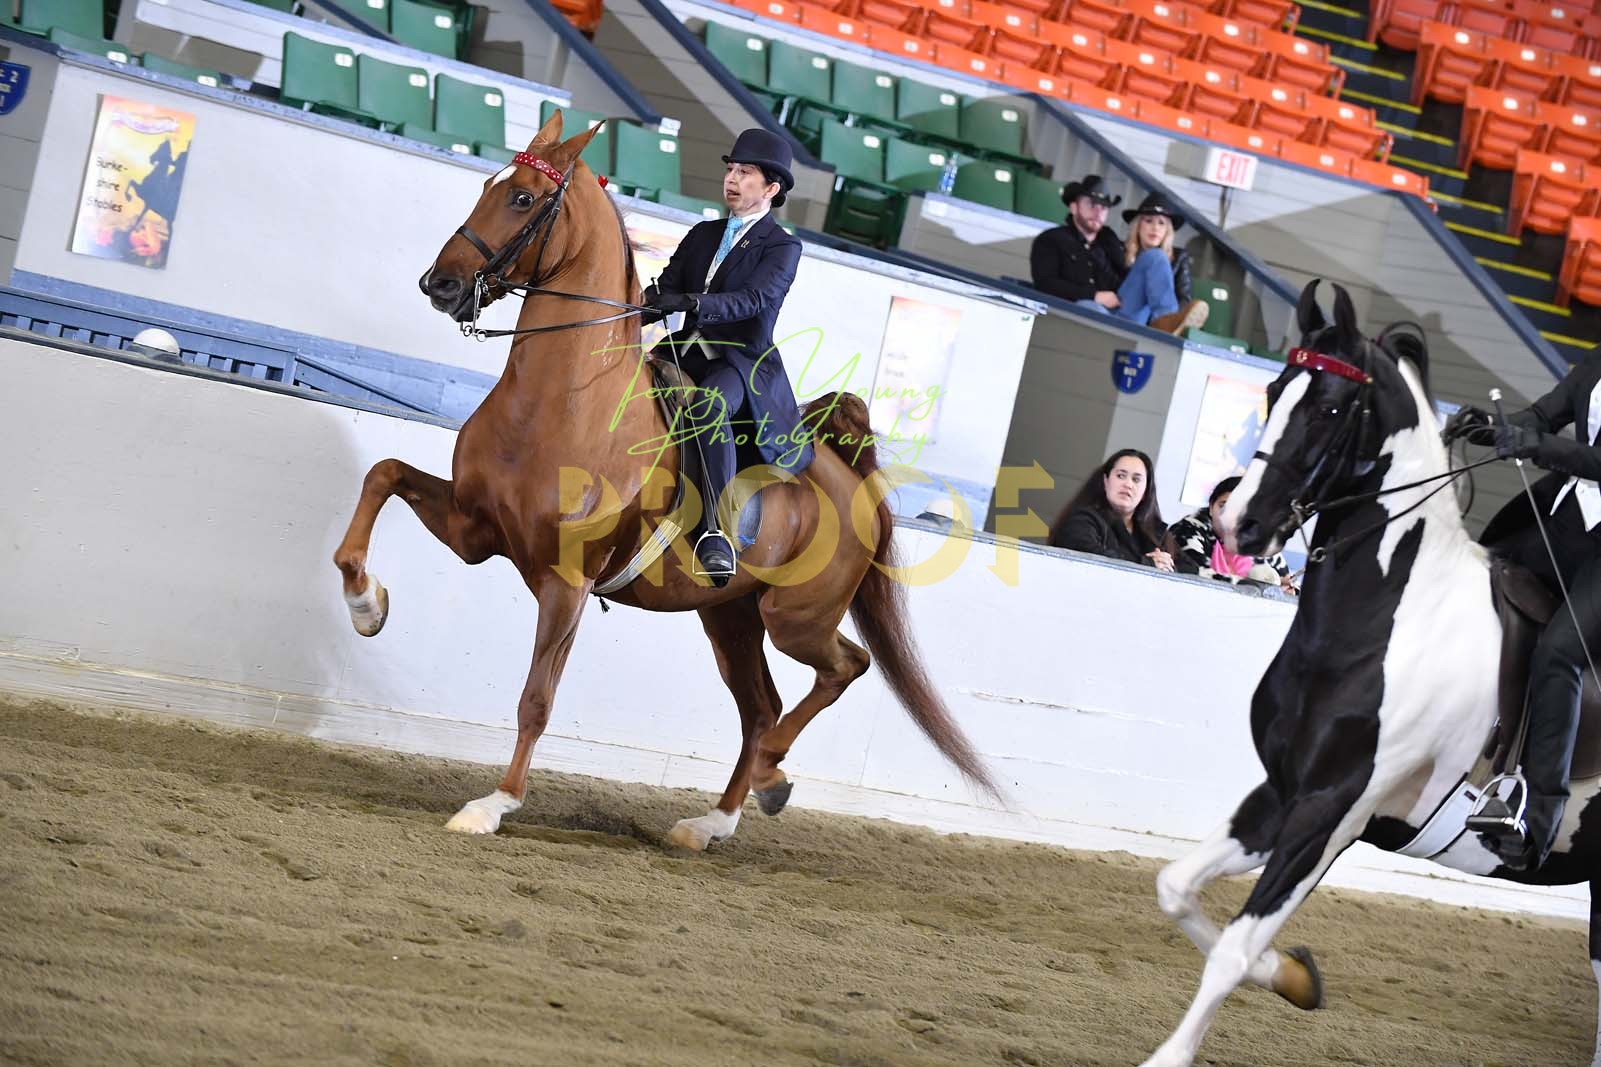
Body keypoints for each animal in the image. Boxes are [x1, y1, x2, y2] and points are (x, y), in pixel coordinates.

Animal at [332, 111, 998, 850]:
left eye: (524, 198)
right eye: (487, 184)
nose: (440, 285)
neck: (563, 400)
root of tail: (845, 475)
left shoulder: (566, 582)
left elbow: (537, 698)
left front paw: (494, 804)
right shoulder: (475, 530)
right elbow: (381, 476)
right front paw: (366, 605)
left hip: (793, 616)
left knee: (840, 669)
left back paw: (770, 774)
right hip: (729, 615)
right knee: (760, 706)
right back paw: (714, 820)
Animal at [1138, 279, 1601, 1067]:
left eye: (1329, 407)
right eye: (1274, 388)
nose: (1236, 523)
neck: (1387, 618)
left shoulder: (1334, 807)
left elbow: (1232, 949)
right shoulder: (1285, 791)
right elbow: (1177, 887)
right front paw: (1294, 976)